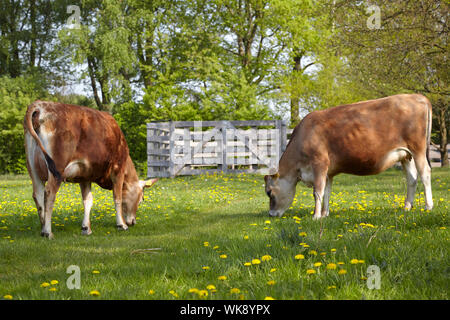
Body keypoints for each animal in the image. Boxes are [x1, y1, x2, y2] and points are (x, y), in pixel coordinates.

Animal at [25, 100, 158, 238]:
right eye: (141, 199)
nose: (133, 222)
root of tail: (41, 104)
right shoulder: (118, 169)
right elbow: (118, 197)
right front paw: (121, 224)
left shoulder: (84, 176)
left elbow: (88, 201)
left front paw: (86, 228)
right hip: (57, 168)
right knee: (49, 193)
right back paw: (47, 231)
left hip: (33, 170)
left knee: (38, 195)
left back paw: (42, 228)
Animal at [266, 94, 434, 219]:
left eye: (269, 192)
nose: (271, 214)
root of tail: (418, 97)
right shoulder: (328, 172)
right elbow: (327, 191)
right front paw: (325, 214)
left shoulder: (319, 163)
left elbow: (318, 191)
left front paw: (315, 216)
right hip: (406, 155)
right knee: (412, 178)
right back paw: (407, 207)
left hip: (418, 148)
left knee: (425, 173)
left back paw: (428, 206)